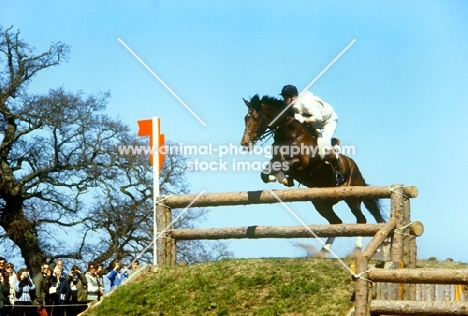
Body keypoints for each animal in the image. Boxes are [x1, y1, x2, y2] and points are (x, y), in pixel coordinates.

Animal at [239, 94, 386, 254]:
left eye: (256, 118)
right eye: (245, 118)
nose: (245, 144)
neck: (290, 133)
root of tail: (355, 167)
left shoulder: (301, 163)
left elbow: (280, 167)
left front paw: (283, 179)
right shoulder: (277, 159)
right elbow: (266, 173)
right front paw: (281, 179)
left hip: (352, 196)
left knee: (361, 219)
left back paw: (358, 249)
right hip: (321, 203)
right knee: (336, 222)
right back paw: (324, 251)